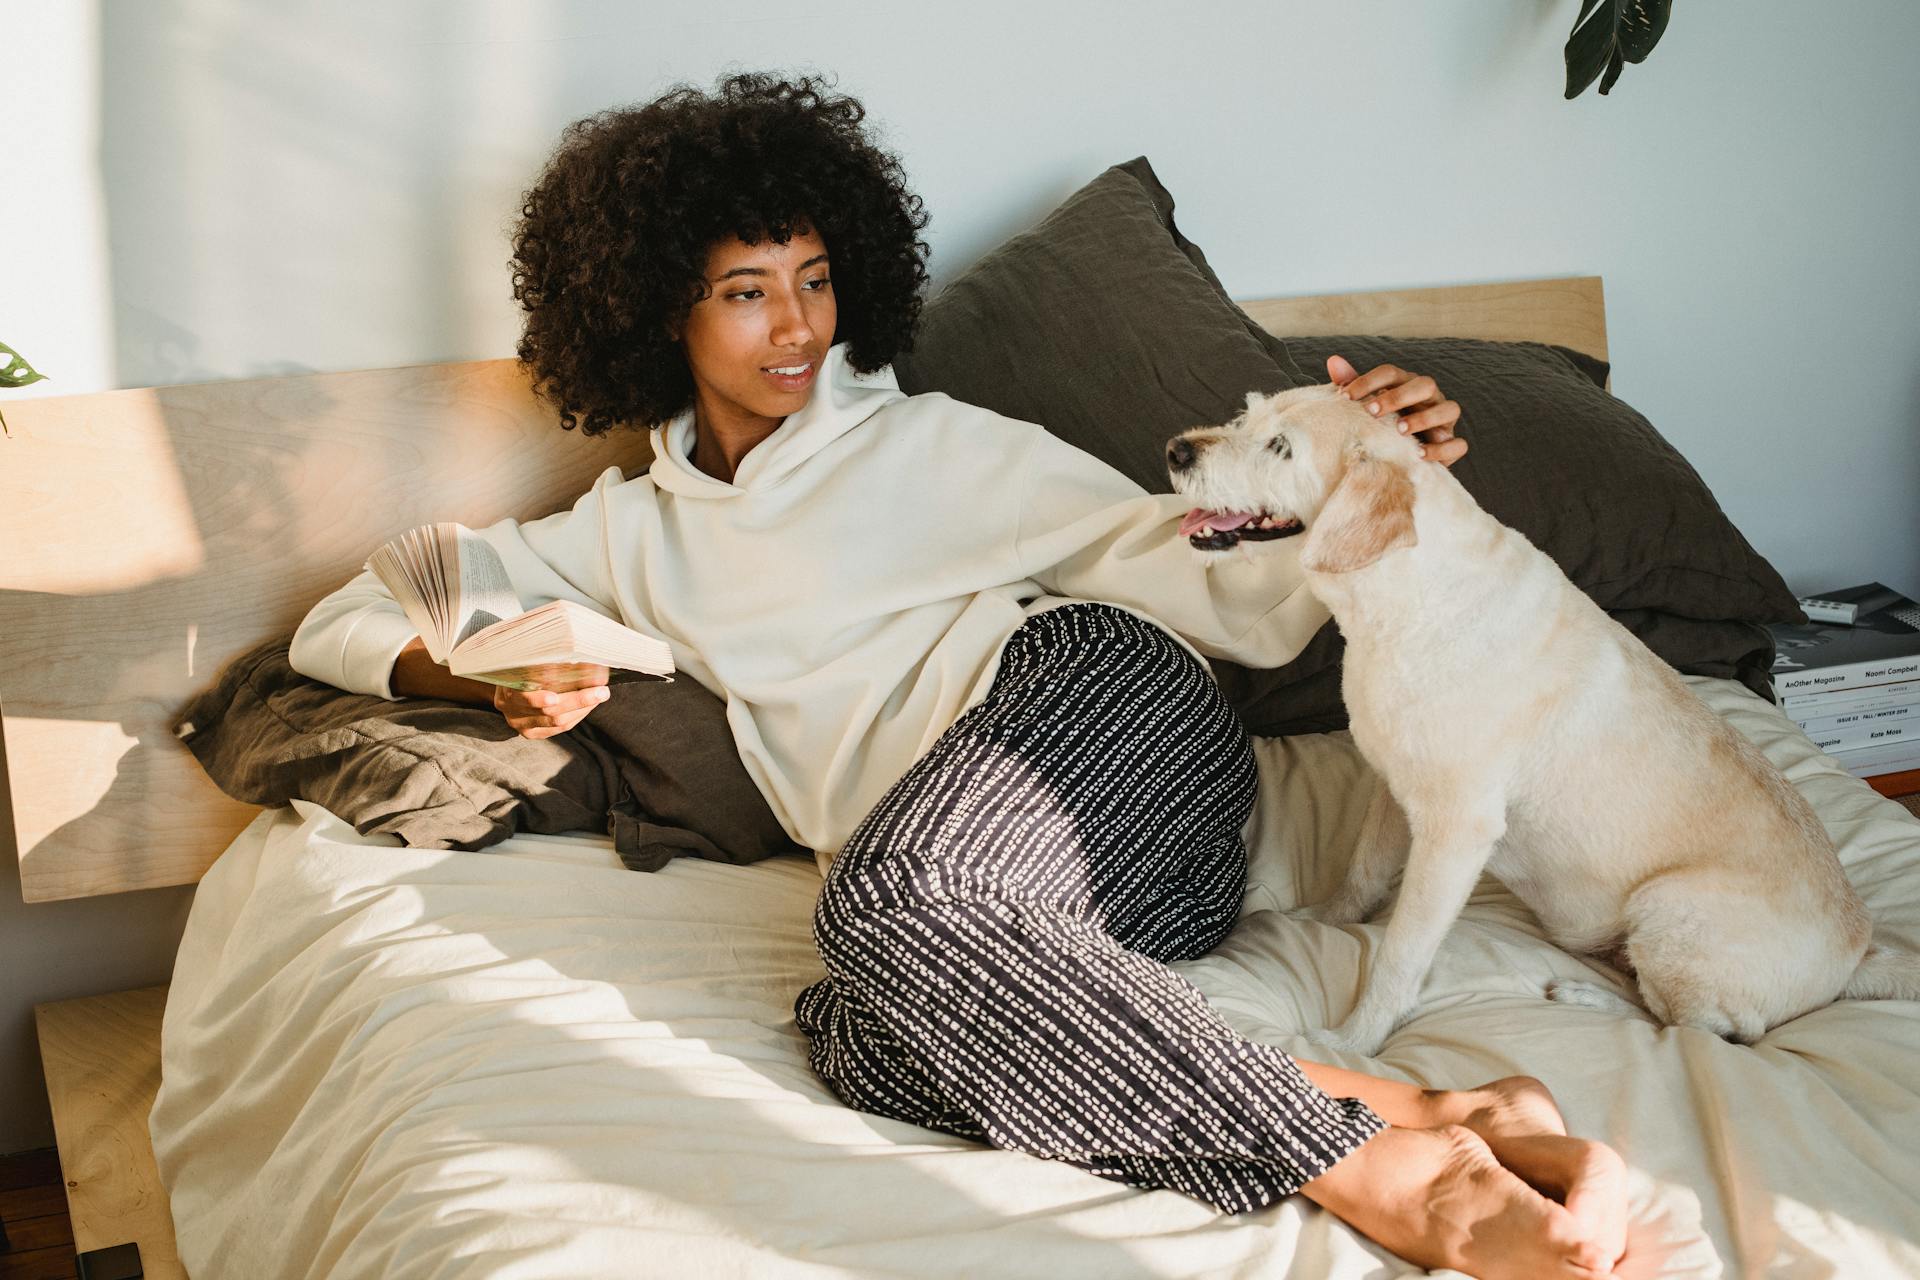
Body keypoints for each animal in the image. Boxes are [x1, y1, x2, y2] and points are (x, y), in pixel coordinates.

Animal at [1167, 385, 1920, 1059]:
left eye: (1280, 447)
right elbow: (1360, 874)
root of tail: (1858, 952)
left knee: (1707, 1032)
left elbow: (1400, 954)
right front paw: (1319, 924)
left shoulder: (1456, 831)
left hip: (1670, 910)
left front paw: (1354, 1041)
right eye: (1245, 415)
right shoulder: (1393, 787)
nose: (1176, 449)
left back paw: (1589, 998)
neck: (1405, 600)